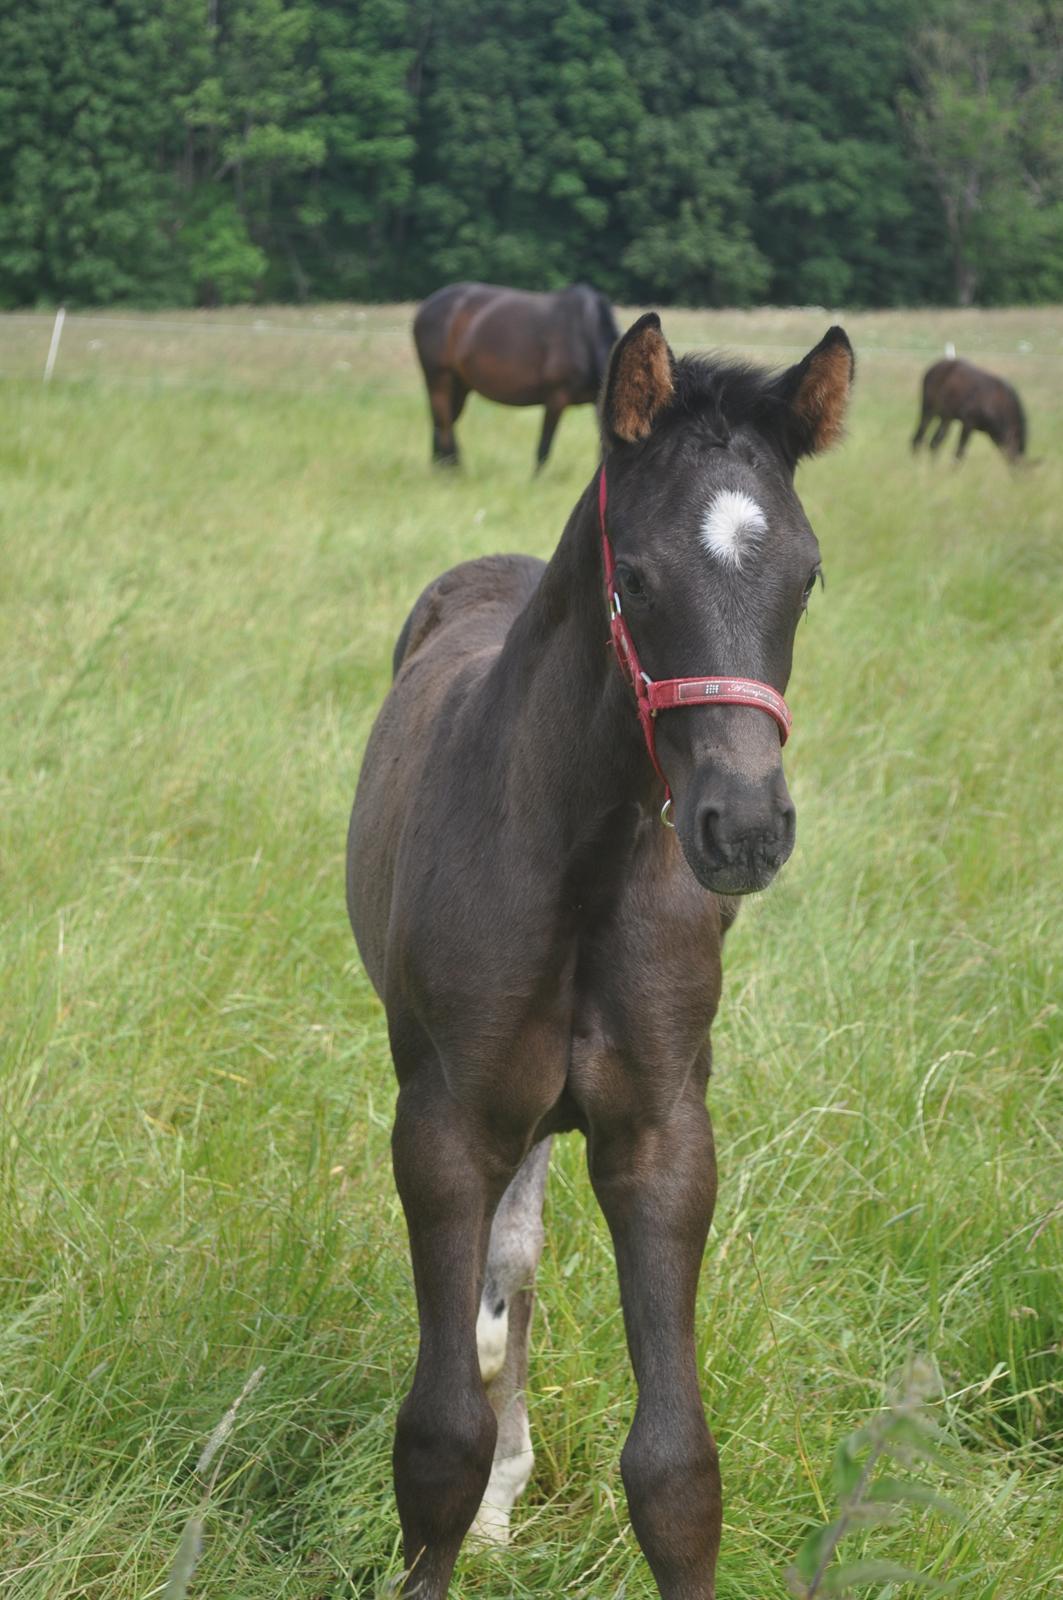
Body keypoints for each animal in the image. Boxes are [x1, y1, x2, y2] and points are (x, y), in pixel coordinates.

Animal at [348, 305, 858, 1593]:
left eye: (808, 573)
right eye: (636, 576)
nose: (745, 825)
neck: (581, 871)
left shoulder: (661, 1134)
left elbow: (676, 1469)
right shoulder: (445, 1123)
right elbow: (437, 1433)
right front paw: (462, 1511)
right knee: (503, 1278)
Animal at [409, 281, 617, 470]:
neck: (585, 332)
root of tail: (425, 308)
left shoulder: (595, 401)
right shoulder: (556, 399)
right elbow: (544, 447)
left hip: (459, 386)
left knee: (442, 424)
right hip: (439, 379)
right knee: (443, 424)